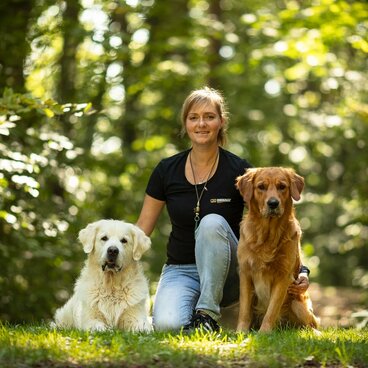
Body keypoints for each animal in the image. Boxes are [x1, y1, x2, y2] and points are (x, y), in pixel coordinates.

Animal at [236, 167, 320, 334]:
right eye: (261, 187)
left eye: (282, 186)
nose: (273, 203)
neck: (268, 235)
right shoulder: (245, 272)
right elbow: (244, 310)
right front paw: (240, 332)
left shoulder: (283, 276)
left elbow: (272, 309)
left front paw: (264, 334)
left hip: (298, 304)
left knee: (310, 325)